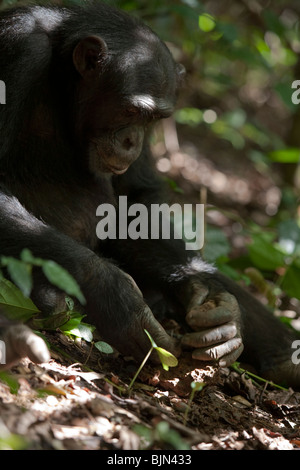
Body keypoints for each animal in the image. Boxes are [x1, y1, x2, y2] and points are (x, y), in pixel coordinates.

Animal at [0, 1, 298, 388]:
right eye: (131, 111)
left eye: (153, 119)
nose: (133, 140)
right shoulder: (18, 52)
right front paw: (117, 299)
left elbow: (135, 200)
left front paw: (206, 298)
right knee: (54, 301)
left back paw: (276, 352)